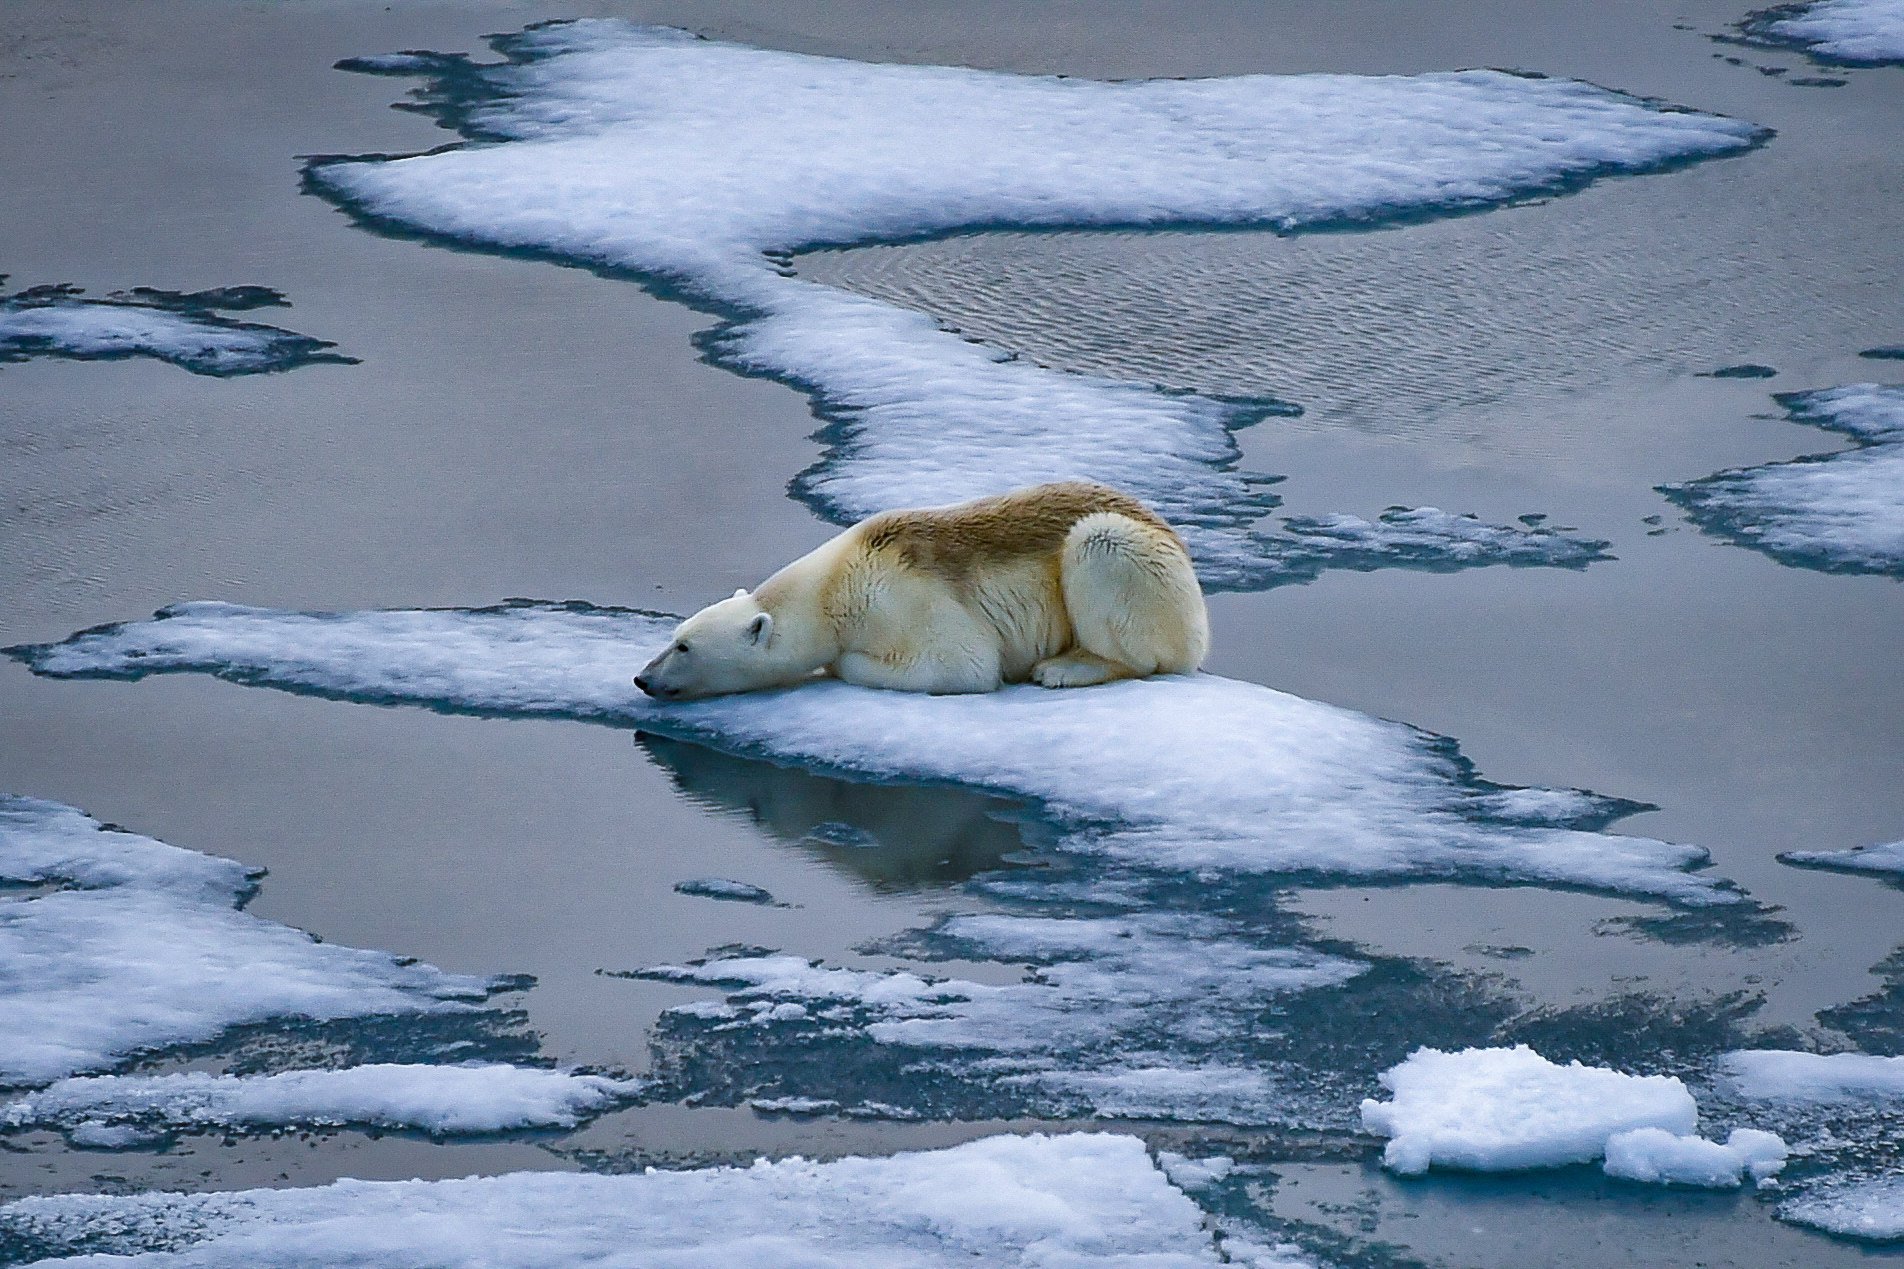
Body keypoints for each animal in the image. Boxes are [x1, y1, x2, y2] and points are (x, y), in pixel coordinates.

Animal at [635, 482, 1203, 701]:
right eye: (675, 635)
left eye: (684, 647)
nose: (642, 678)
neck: (835, 583)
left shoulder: (902, 597)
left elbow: (961, 664)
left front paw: (840, 664)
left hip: (1141, 563)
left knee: (1101, 549)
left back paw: (1065, 667)